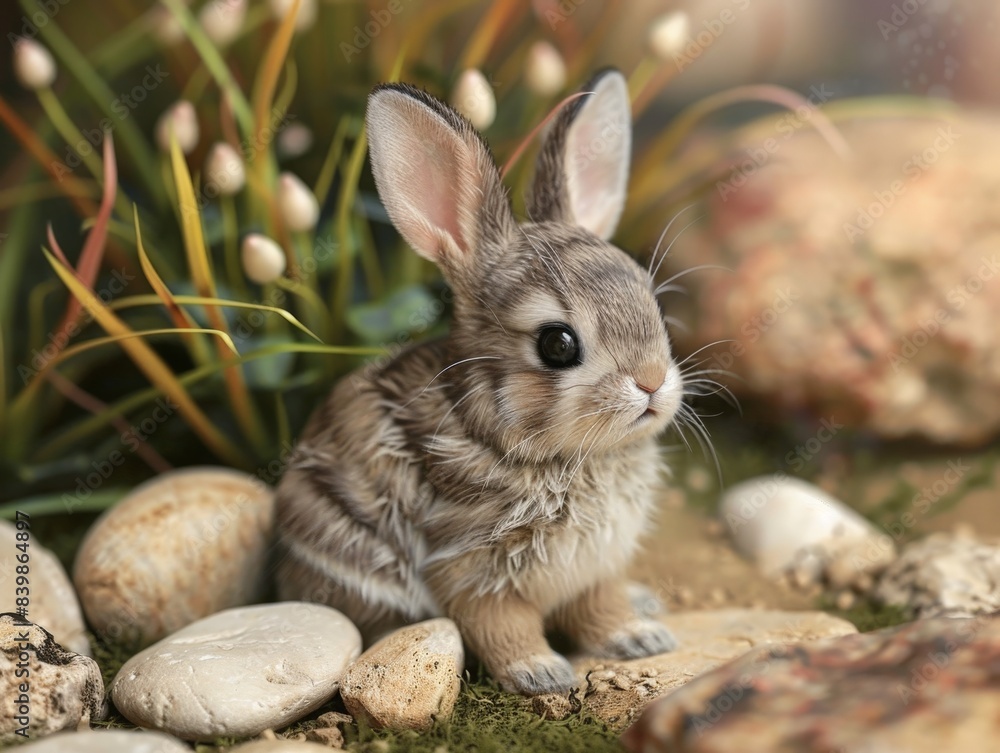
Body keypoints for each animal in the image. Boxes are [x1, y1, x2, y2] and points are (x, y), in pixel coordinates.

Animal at [274, 69, 685, 696]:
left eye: (654, 308)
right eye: (557, 345)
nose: (652, 382)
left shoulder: (595, 572)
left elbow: (602, 607)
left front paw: (639, 639)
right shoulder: (468, 567)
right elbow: (499, 625)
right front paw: (540, 672)